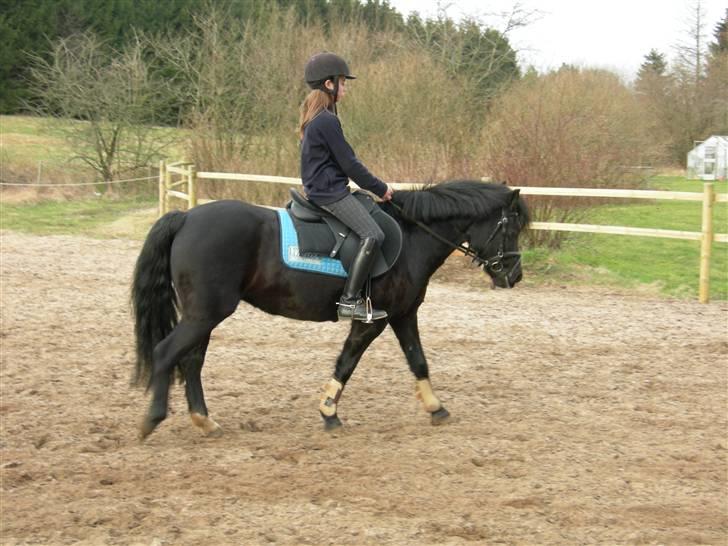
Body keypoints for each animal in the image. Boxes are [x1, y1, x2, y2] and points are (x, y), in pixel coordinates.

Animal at [131, 181, 530, 439]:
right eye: (509, 227)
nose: (514, 275)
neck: (412, 237)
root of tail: (185, 217)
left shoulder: (403, 315)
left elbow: (418, 360)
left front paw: (436, 408)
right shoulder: (371, 321)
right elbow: (347, 363)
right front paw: (328, 412)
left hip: (204, 315)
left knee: (192, 360)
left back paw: (204, 422)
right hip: (205, 314)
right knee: (167, 353)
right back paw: (153, 420)